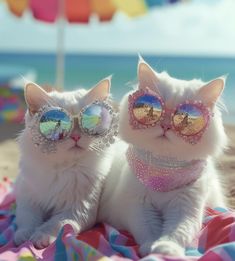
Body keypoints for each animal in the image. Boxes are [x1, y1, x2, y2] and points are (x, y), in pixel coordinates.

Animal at [13, 78, 116, 248]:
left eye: (87, 122)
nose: (75, 137)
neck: (61, 168)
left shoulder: (78, 209)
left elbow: (56, 224)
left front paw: (40, 237)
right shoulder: (27, 198)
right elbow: (27, 218)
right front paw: (23, 236)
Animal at [98, 59, 229, 256]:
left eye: (186, 116)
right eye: (156, 110)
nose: (166, 126)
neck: (163, 170)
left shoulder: (186, 206)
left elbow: (177, 230)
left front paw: (166, 249)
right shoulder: (137, 205)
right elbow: (148, 228)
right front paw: (149, 248)